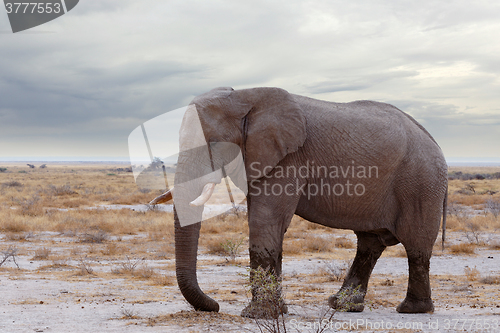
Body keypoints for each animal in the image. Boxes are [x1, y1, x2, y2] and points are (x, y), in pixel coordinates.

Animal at [150, 85, 448, 316]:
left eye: (212, 143)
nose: (215, 305)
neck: (245, 97)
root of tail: (434, 141)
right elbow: (271, 225)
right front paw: (277, 311)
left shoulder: (289, 158)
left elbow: (265, 221)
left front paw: (258, 315)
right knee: (369, 244)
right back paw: (342, 305)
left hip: (421, 184)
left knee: (416, 246)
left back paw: (412, 310)